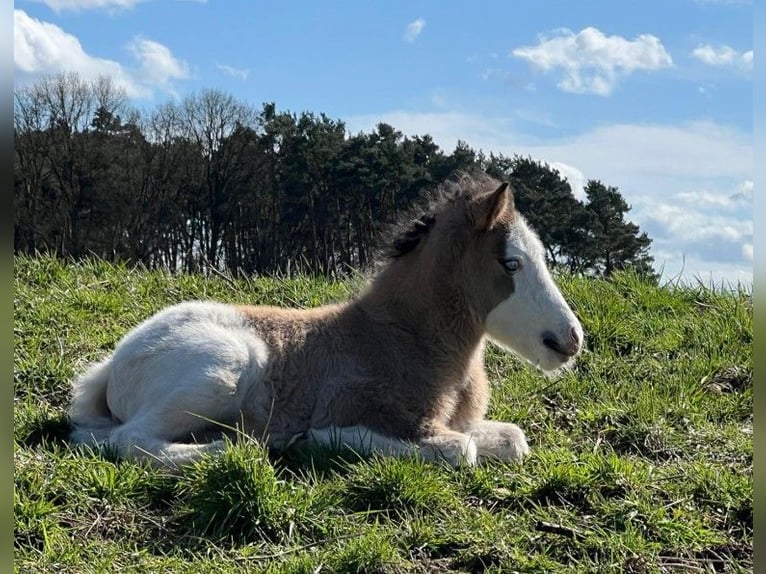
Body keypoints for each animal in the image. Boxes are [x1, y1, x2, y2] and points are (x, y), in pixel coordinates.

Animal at [67, 172, 584, 468]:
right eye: (511, 264)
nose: (570, 341)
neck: (401, 337)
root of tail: (112, 365)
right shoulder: (364, 408)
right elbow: (459, 450)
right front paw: (317, 440)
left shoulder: (455, 421)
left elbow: (512, 439)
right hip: (221, 368)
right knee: (127, 441)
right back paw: (237, 448)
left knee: (99, 437)